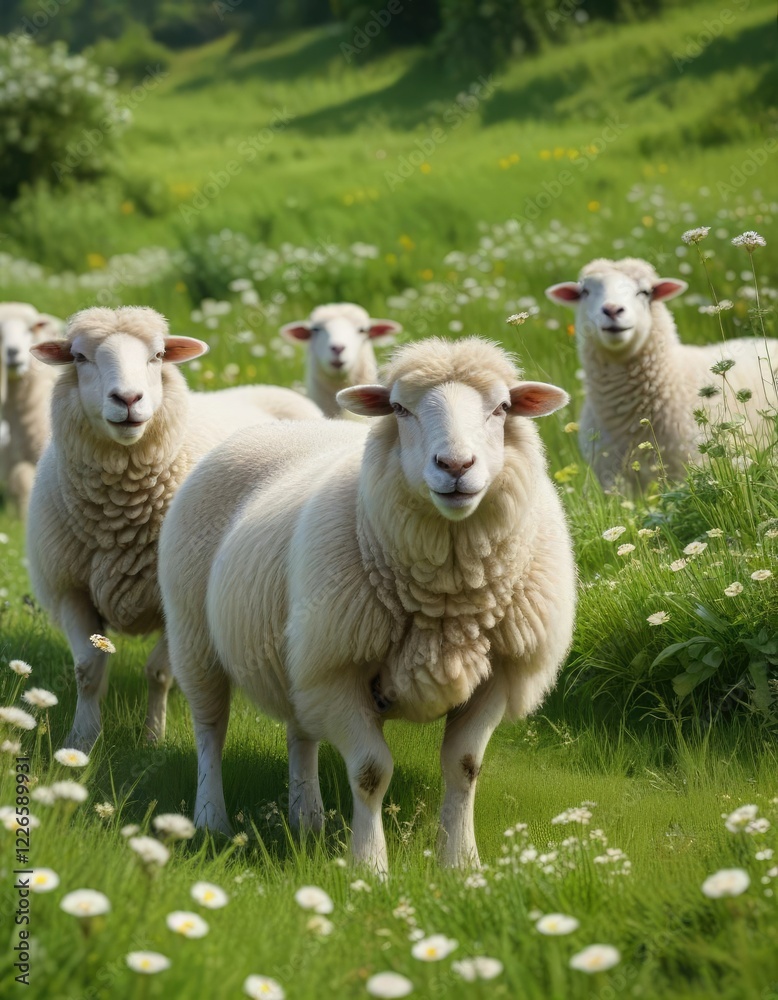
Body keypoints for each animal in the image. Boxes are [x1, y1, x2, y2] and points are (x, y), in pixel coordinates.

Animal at [26, 305, 321, 751]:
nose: (128, 399)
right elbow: (88, 670)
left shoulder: (175, 598)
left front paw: (152, 738)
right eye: (79, 357)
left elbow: (159, 673)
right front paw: (81, 741)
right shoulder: (70, 589)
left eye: (158, 355)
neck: (118, 517)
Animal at [158, 336, 575, 871]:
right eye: (399, 409)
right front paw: (370, 866)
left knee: (300, 732)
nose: (455, 467)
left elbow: (464, 767)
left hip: (300, 655)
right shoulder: (341, 671)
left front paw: (460, 863)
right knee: (210, 730)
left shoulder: (498, 673)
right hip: (196, 636)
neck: (448, 599)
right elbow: (371, 773)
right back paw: (212, 819)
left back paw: (306, 819)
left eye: (502, 408)